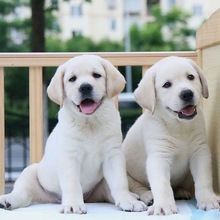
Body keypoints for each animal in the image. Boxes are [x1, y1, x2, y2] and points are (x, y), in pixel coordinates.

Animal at [0, 54, 146, 214]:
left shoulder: (113, 155)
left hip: (101, 184)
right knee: (24, 193)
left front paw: (128, 201)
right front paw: (73, 205)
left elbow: (120, 182)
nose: (85, 87)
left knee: (109, 192)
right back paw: (8, 200)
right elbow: (72, 183)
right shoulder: (69, 156)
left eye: (96, 75)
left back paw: (133, 197)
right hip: (30, 173)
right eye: (72, 79)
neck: (90, 123)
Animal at [122, 56, 220, 215]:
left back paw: (181, 191)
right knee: (138, 187)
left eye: (190, 77)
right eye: (167, 85)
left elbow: (203, 179)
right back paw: (148, 196)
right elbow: (162, 184)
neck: (179, 126)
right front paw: (163, 206)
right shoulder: (158, 157)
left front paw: (208, 199)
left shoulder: (200, 152)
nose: (187, 93)